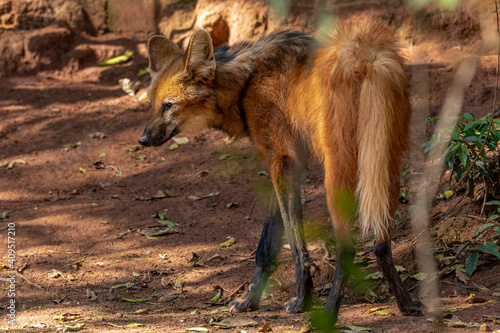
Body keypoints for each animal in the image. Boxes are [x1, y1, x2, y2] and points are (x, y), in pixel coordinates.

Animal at [139, 21, 424, 322]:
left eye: (169, 105)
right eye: (152, 105)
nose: (142, 140)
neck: (244, 85)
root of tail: (366, 57)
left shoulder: (281, 161)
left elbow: (294, 243)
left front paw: (300, 301)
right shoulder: (288, 164)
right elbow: (267, 244)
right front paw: (249, 301)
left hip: (337, 173)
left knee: (347, 248)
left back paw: (329, 314)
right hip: (386, 162)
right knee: (381, 243)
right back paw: (406, 304)